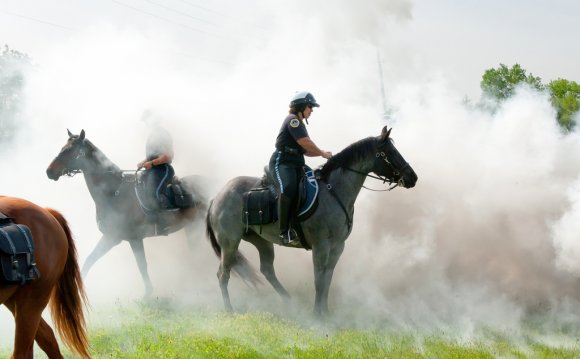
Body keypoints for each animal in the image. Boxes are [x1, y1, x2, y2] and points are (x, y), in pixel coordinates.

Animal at [46, 129, 208, 298]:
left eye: (69, 150)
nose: (49, 171)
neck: (114, 192)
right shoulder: (111, 237)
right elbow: (90, 259)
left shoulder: (134, 238)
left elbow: (142, 265)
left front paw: (148, 294)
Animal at [207, 126, 416, 316]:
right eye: (390, 152)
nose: (413, 177)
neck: (333, 191)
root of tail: (217, 197)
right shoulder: (321, 245)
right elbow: (319, 279)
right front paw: (316, 314)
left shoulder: (338, 246)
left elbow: (328, 278)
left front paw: (325, 311)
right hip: (230, 243)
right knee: (223, 274)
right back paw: (230, 309)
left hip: (262, 241)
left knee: (267, 270)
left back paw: (288, 300)